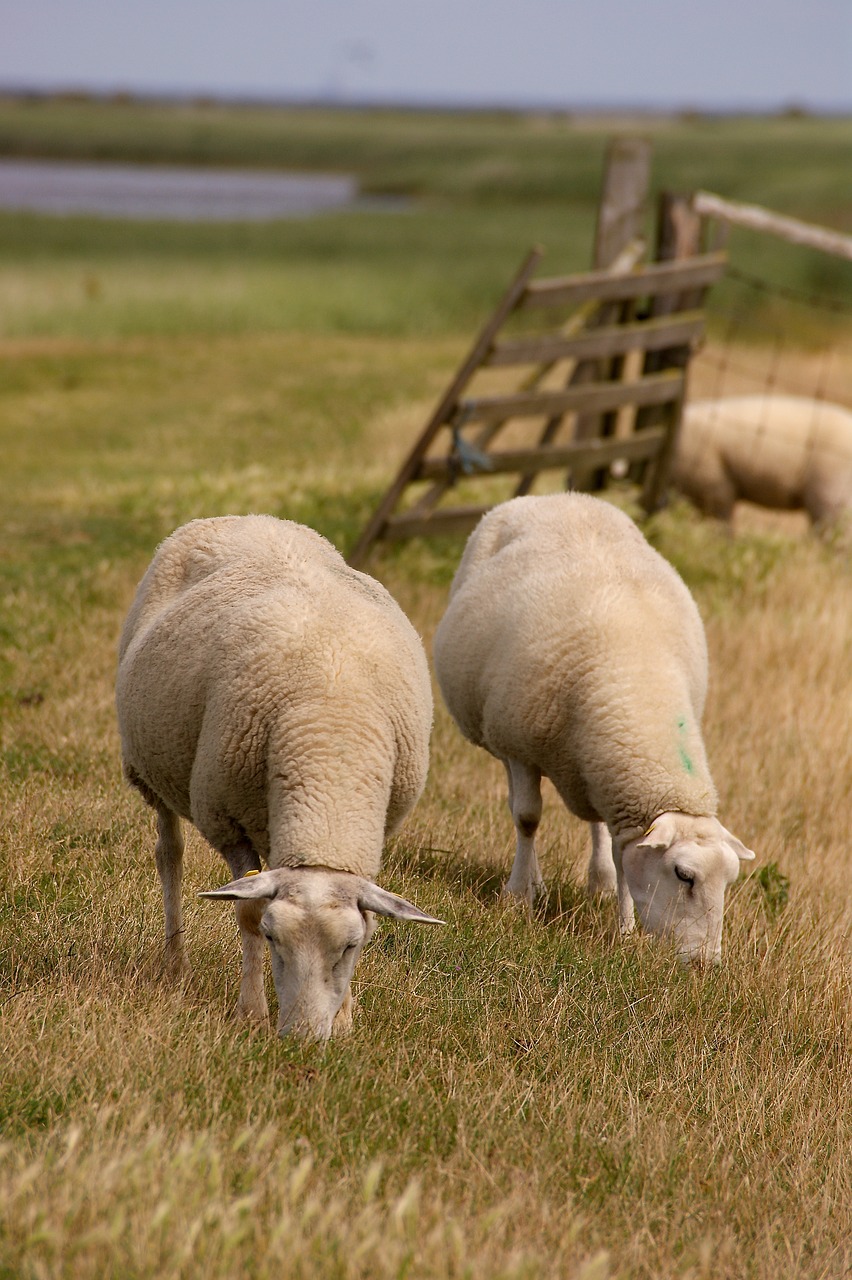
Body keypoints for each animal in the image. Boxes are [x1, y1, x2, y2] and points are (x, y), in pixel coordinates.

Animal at [116, 514, 440, 1044]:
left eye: (350, 947)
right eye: (272, 937)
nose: (304, 1039)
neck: (329, 751)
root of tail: (247, 517)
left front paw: (345, 1020)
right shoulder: (225, 819)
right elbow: (244, 911)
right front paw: (251, 1012)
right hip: (150, 766)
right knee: (169, 854)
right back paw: (175, 962)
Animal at [434, 494, 752, 962]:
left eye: (728, 881)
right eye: (683, 875)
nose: (704, 964)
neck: (640, 686)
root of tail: (563, 496)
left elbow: (623, 856)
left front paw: (623, 928)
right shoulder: (520, 745)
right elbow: (527, 818)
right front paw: (518, 897)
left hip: (592, 762)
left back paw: (597, 882)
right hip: (504, 730)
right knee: (517, 802)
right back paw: (533, 879)